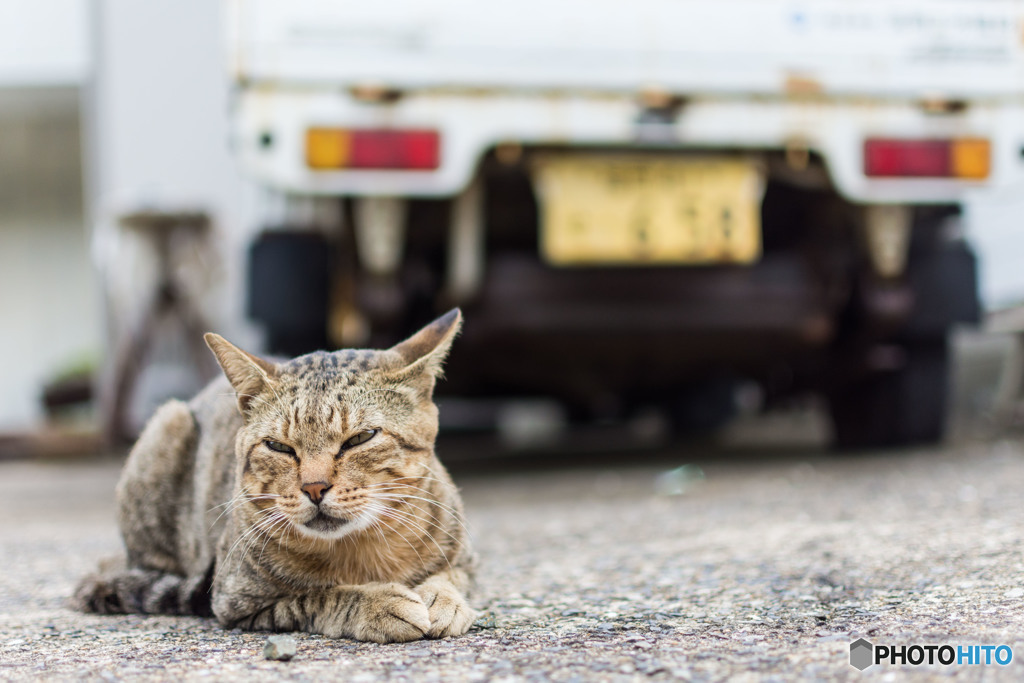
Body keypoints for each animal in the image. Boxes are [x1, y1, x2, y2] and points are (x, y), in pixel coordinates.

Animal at [73, 309, 475, 643]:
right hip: (167, 426)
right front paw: (377, 604)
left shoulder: (467, 560)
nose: (314, 487)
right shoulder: (242, 601)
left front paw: (442, 599)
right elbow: (318, 596)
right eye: (278, 447)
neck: (361, 549)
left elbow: (452, 576)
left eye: (360, 438)